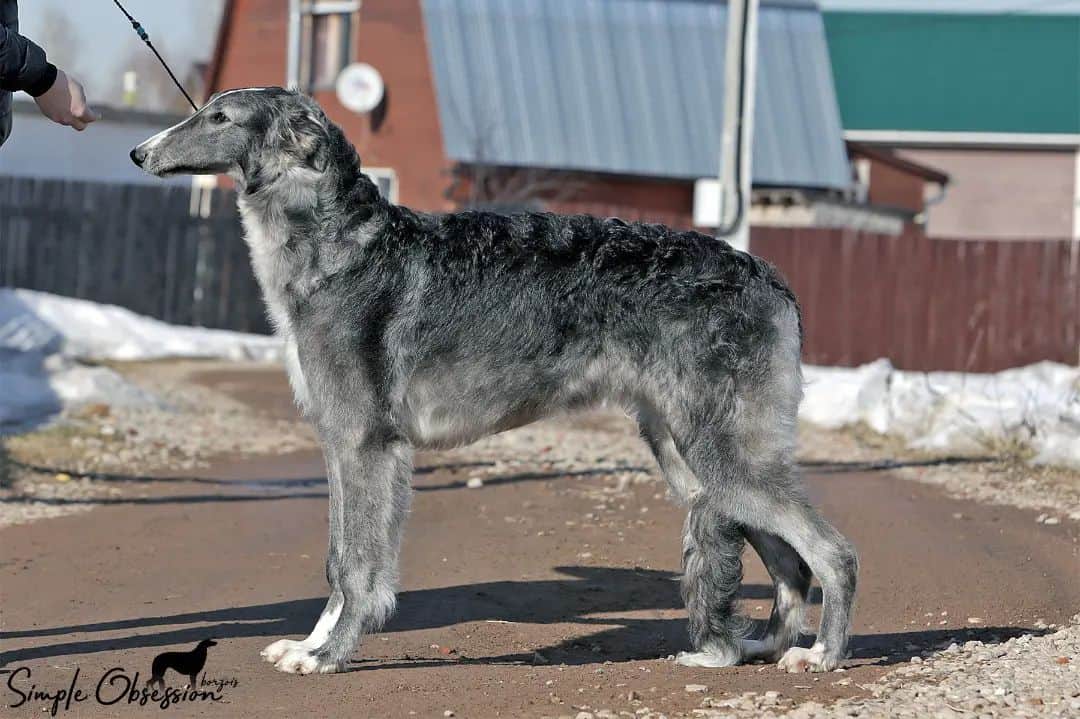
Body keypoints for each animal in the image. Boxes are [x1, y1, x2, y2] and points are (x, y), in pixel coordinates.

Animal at [132, 87, 859, 673]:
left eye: (219, 116)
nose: (139, 152)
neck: (346, 245)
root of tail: (771, 277)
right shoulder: (342, 446)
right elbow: (338, 560)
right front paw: (309, 645)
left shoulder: (367, 445)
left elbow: (357, 567)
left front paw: (329, 656)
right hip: (693, 458)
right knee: (790, 563)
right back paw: (759, 647)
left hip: (719, 454)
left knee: (833, 552)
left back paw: (821, 654)